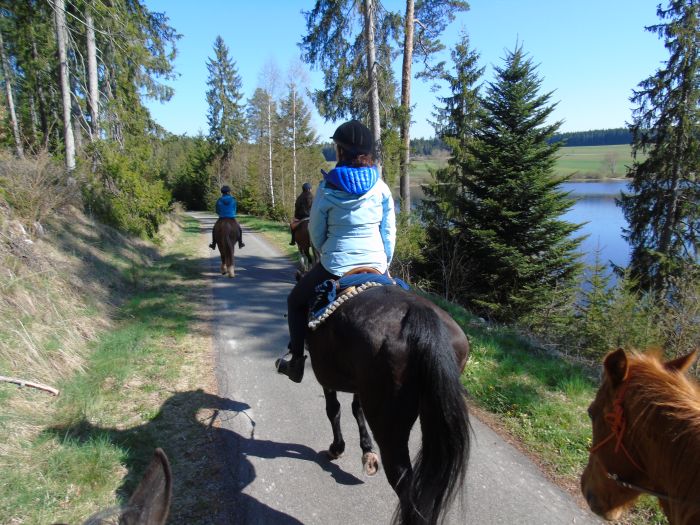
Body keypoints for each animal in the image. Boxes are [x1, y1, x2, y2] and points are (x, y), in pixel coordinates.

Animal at [306, 282, 470, 524]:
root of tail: (422, 316)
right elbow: (356, 409)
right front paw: (366, 450)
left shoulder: (327, 376)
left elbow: (334, 410)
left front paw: (337, 448)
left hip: (390, 425)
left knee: (404, 484)